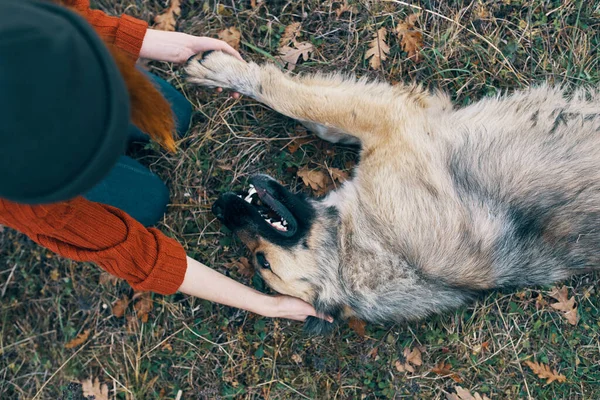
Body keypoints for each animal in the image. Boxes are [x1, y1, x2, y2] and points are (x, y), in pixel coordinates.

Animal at [185, 51, 596, 336]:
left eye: (263, 261)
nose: (219, 207)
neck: (365, 245)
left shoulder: (391, 122)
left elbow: (296, 101)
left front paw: (224, 71)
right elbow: (313, 112)